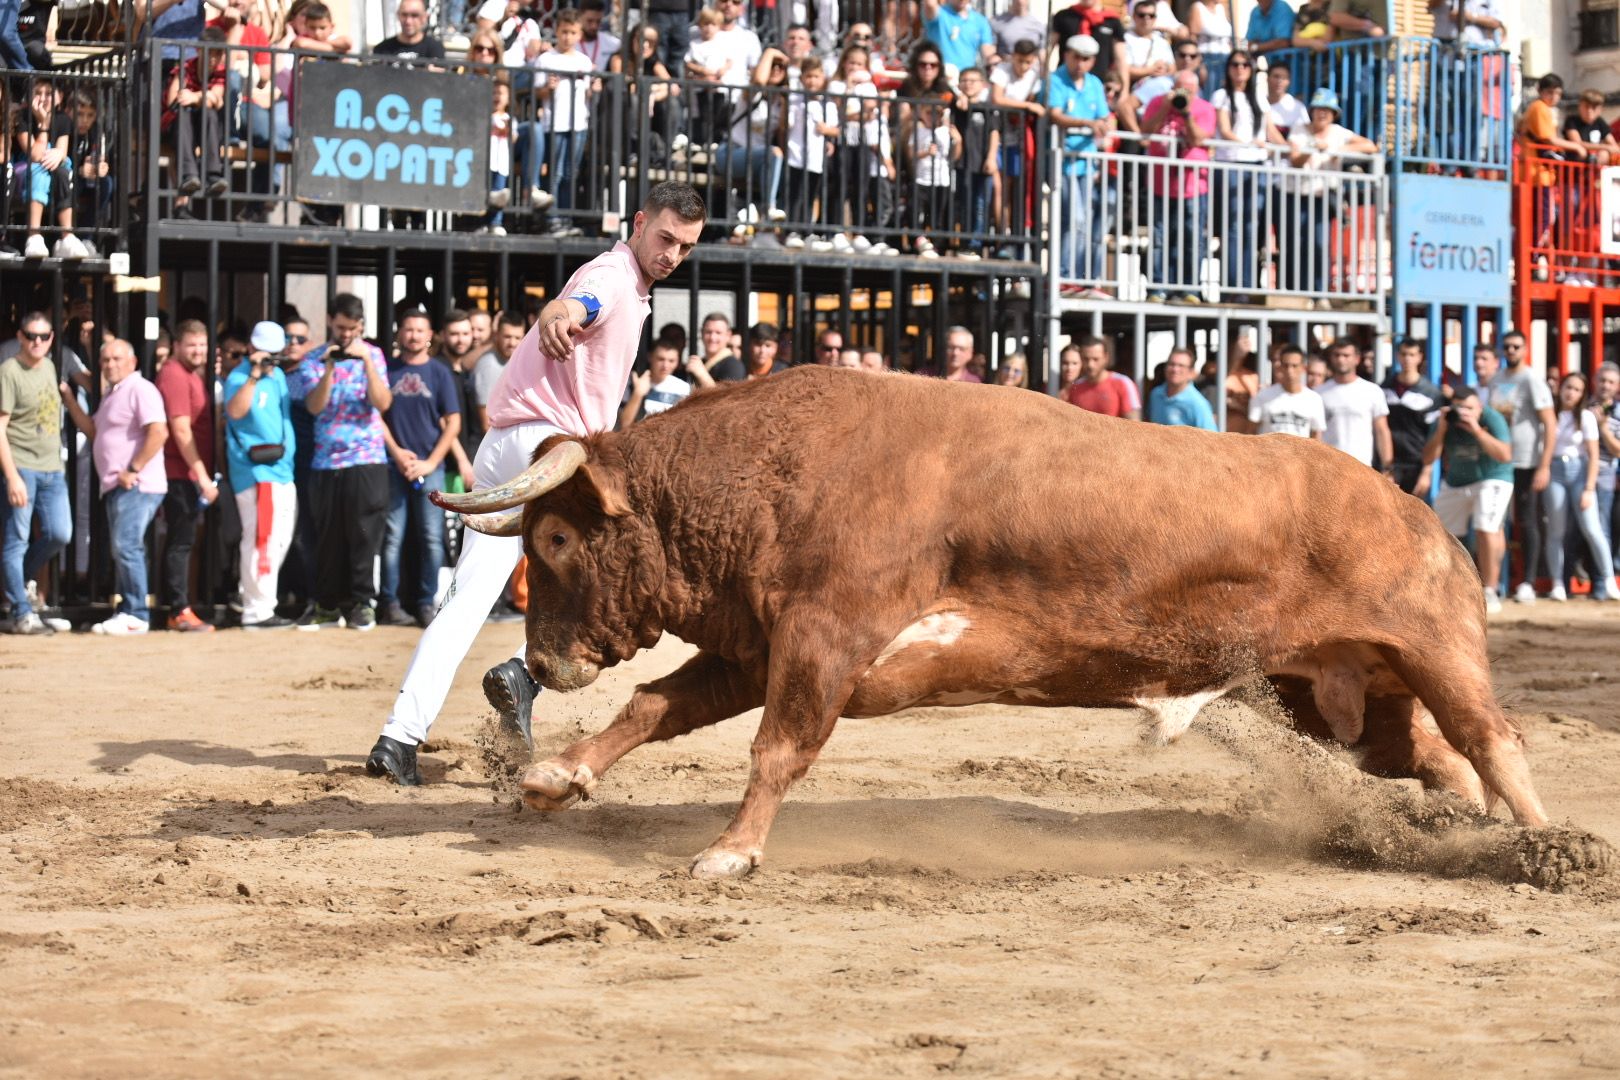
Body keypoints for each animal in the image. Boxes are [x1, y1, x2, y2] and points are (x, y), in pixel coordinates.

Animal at [430, 362, 1542, 880]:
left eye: (557, 539)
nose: (542, 664)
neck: (774, 469)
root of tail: (1415, 512)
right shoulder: (760, 644)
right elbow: (657, 708)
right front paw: (554, 775)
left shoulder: (823, 640)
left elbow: (777, 749)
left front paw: (730, 852)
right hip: (1333, 693)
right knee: (1435, 759)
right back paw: (1460, 834)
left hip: (1434, 647)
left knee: (1494, 739)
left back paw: (1542, 848)